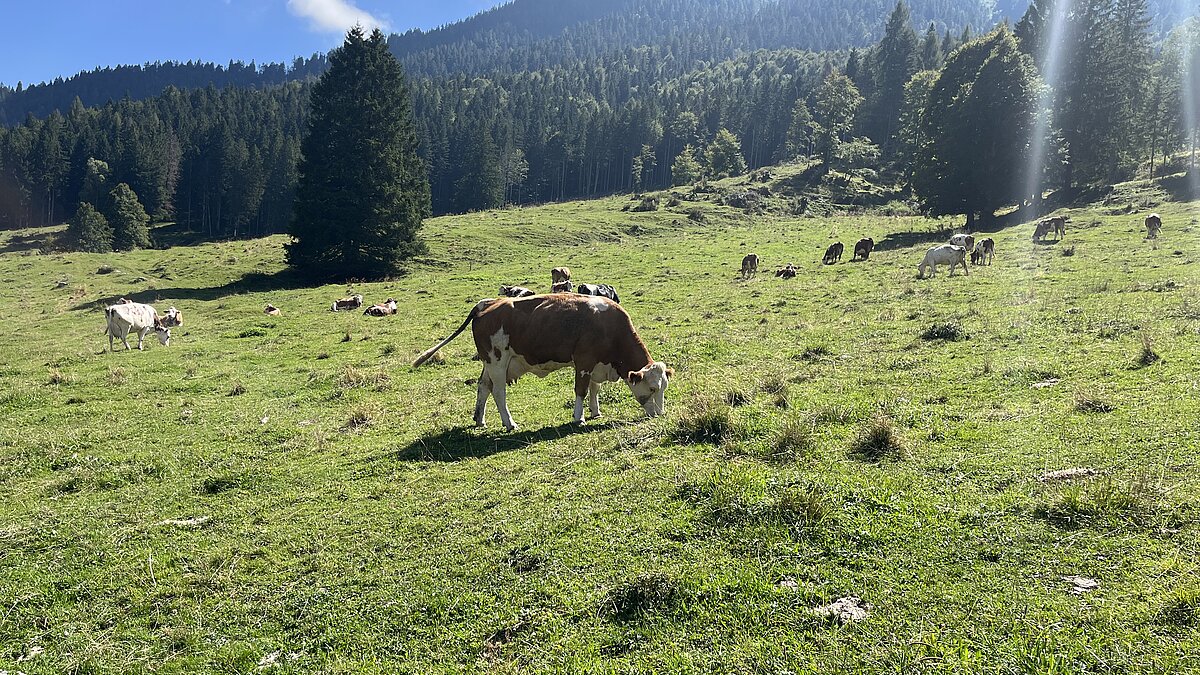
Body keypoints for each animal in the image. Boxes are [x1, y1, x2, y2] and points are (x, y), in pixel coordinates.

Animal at [412, 291, 676, 427]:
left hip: (489, 362)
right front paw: (580, 417)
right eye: (652, 388)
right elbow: (581, 390)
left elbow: (594, 388)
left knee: (483, 387)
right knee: (498, 391)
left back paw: (480, 419)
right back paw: (509, 422)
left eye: (664, 388)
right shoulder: (584, 361)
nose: (661, 414)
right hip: (498, 361)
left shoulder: (596, 363)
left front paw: (596, 411)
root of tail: (487, 304)